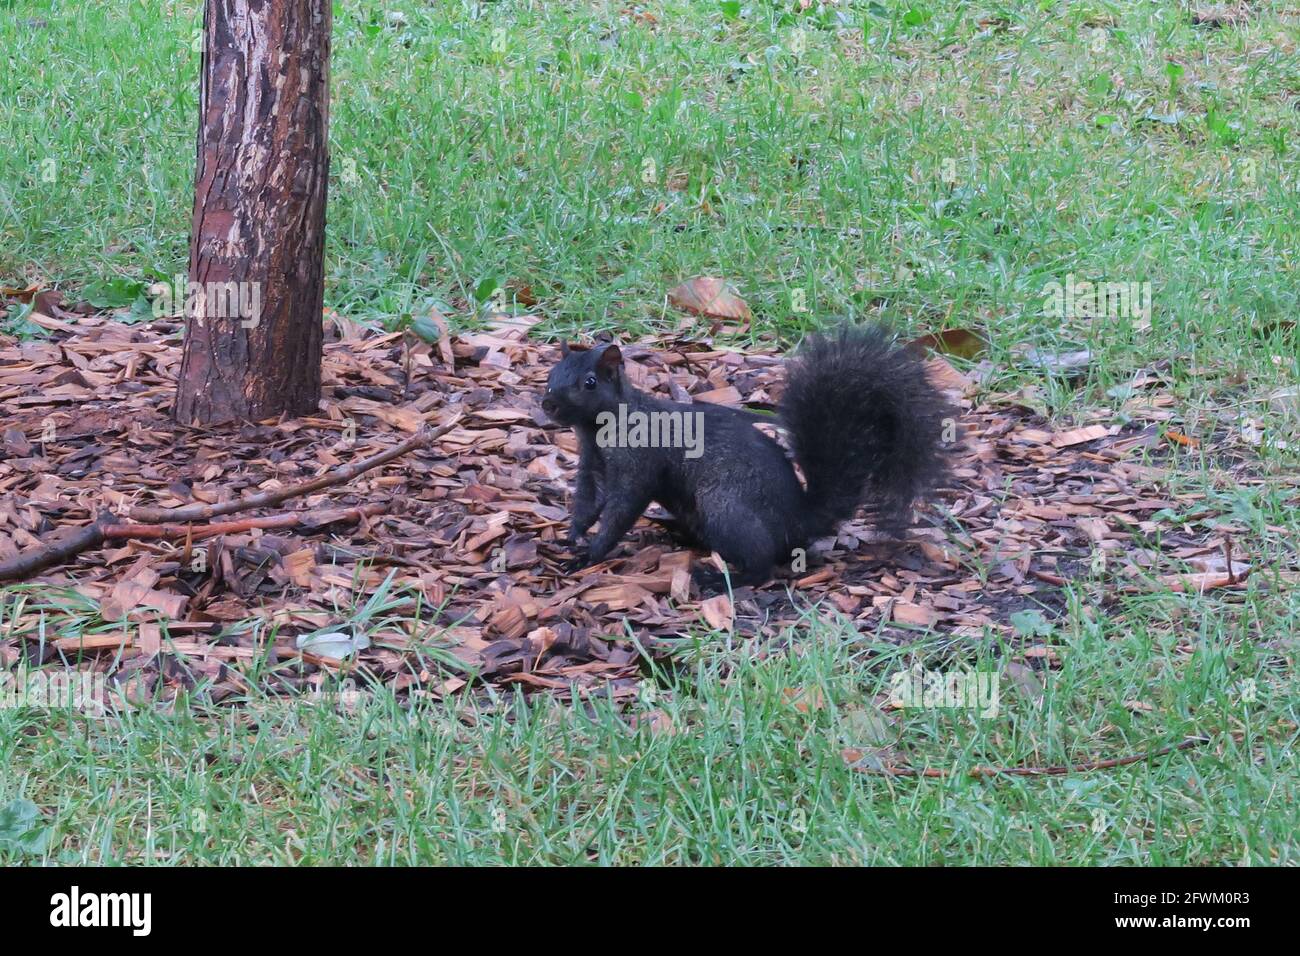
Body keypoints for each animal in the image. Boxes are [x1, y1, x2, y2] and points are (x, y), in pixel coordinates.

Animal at [540, 323, 951, 589]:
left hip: (726, 506)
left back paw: (722, 578)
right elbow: (589, 500)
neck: (601, 429)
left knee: (761, 565)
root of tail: (799, 520)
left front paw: (591, 553)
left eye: (590, 383)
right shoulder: (592, 463)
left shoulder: (640, 462)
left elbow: (621, 508)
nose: (548, 404)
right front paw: (574, 535)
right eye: (550, 375)